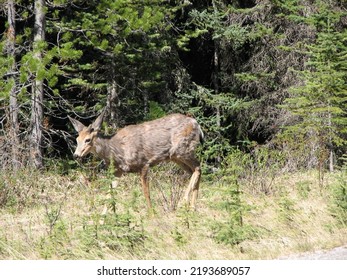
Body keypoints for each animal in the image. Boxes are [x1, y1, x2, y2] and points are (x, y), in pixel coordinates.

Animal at [68, 111, 204, 210]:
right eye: (77, 139)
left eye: (88, 140)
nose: (76, 155)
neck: (117, 150)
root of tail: (197, 124)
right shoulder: (118, 172)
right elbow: (109, 194)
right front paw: (102, 220)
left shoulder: (144, 163)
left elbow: (146, 193)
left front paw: (151, 214)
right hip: (175, 156)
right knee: (194, 170)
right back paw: (192, 207)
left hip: (182, 149)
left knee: (197, 167)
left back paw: (184, 202)